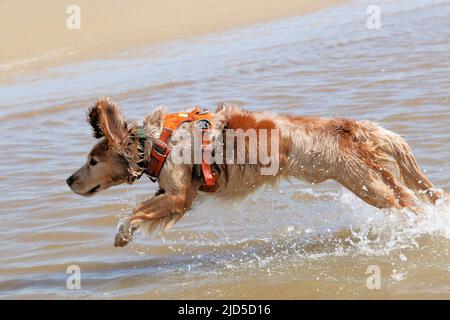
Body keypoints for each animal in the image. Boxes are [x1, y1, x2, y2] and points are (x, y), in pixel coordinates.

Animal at [67, 97, 442, 248]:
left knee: (408, 204)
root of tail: (348, 127)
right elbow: (144, 209)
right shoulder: (173, 196)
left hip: (368, 185)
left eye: (92, 162)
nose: (69, 180)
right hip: (374, 180)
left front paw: (122, 234)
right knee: (410, 196)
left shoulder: (178, 197)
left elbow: (135, 212)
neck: (157, 141)